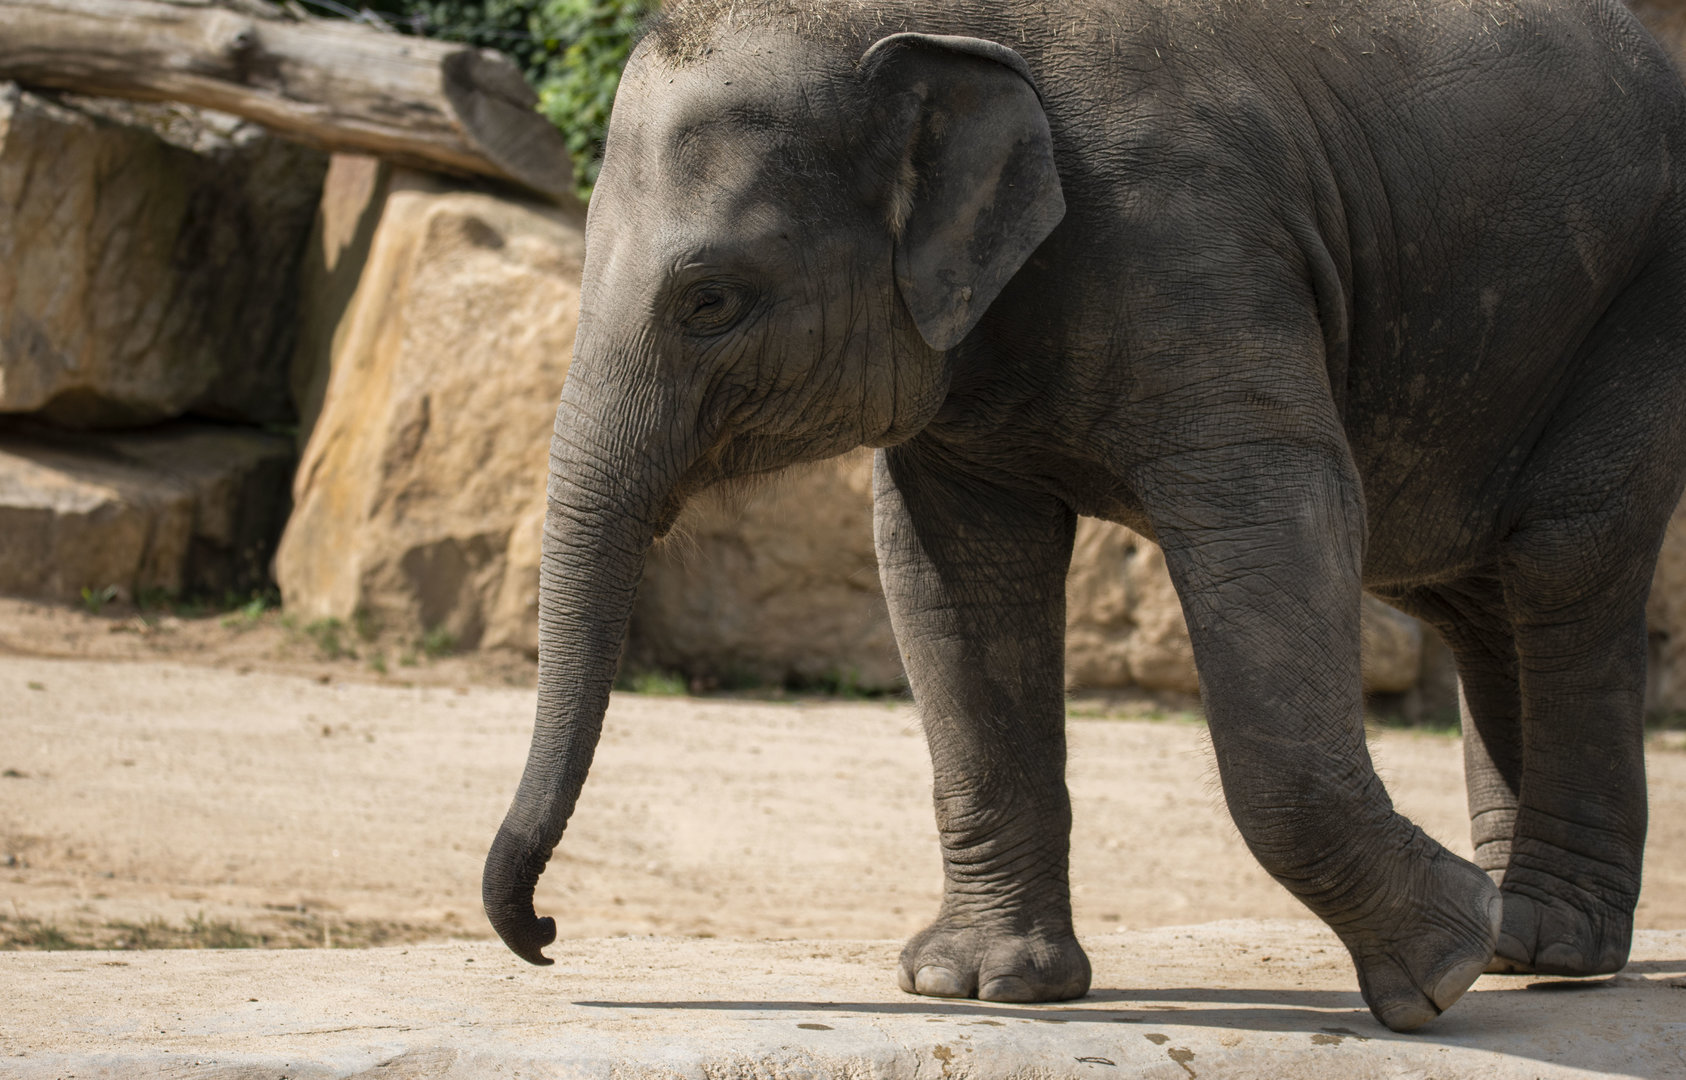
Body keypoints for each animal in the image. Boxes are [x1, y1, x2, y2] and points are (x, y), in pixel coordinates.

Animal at [483, 0, 1686, 1032]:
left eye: (711, 301)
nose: (547, 933)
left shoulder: (1196, 245)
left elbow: (1275, 515)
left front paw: (1441, 969)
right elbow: (950, 571)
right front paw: (977, 985)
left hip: (1639, 298)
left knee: (1564, 560)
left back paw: (1542, 941)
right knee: (1471, 593)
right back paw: (1520, 940)